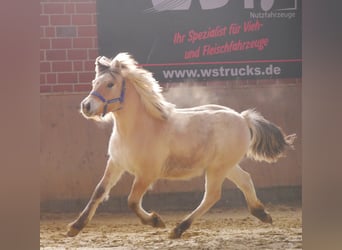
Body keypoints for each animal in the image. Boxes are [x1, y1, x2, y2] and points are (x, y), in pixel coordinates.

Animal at [67, 52, 296, 238]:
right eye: (94, 82)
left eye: (110, 84)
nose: (86, 106)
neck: (137, 129)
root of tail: (243, 118)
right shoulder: (116, 163)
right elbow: (99, 191)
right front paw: (75, 227)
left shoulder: (147, 173)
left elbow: (132, 200)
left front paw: (155, 221)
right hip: (226, 166)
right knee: (245, 180)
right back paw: (262, 214)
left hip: (218, 168)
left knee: (212, 195)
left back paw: (178, 229)